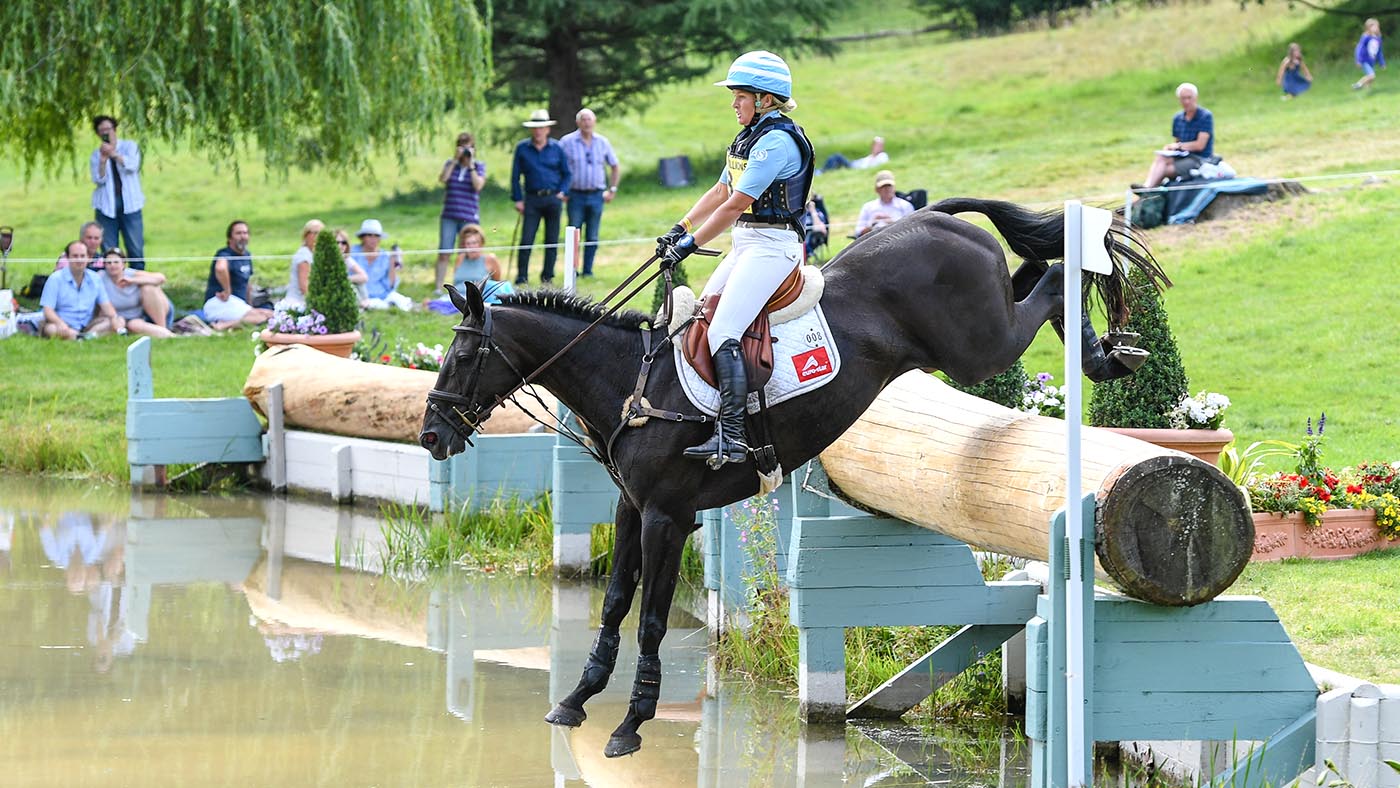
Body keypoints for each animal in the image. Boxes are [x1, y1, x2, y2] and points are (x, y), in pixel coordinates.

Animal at [420, 197, 1164, 755]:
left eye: (462, 357)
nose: (430, 435)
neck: (632, 380)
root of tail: (937, 218)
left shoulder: (667, 517)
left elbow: (652, 619)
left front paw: (631, 724)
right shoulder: (632, 509)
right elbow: (612, 606)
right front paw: (576, 700)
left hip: (978, 346)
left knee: (1053, 278)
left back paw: (1107, 352)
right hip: (981, 329)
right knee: (1036, 270)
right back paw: (1106, 346)